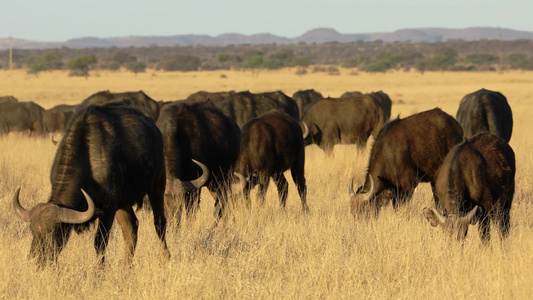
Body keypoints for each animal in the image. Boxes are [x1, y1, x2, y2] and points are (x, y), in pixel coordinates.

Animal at [13, 104, 170, 266]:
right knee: (131, 227)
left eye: (54, 231)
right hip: (123, 203)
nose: (36, 258)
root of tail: (155, 130)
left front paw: (99, 269)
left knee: (159, 223)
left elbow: (100, 242)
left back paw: (165, 257)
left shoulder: (108, 209)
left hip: (158, 186)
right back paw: (127, 265)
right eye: (32, 230)